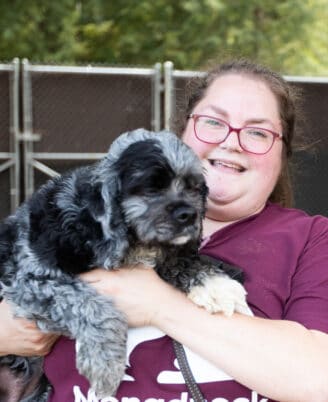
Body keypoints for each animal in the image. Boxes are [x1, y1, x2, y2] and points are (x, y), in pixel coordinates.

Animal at [0, 129, 247, 398]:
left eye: (193, 187)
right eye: (152, 188)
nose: (189, 215)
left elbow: (179, 261)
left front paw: (217, 286)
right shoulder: (30, 279)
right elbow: (89, 304)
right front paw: (105, 363)